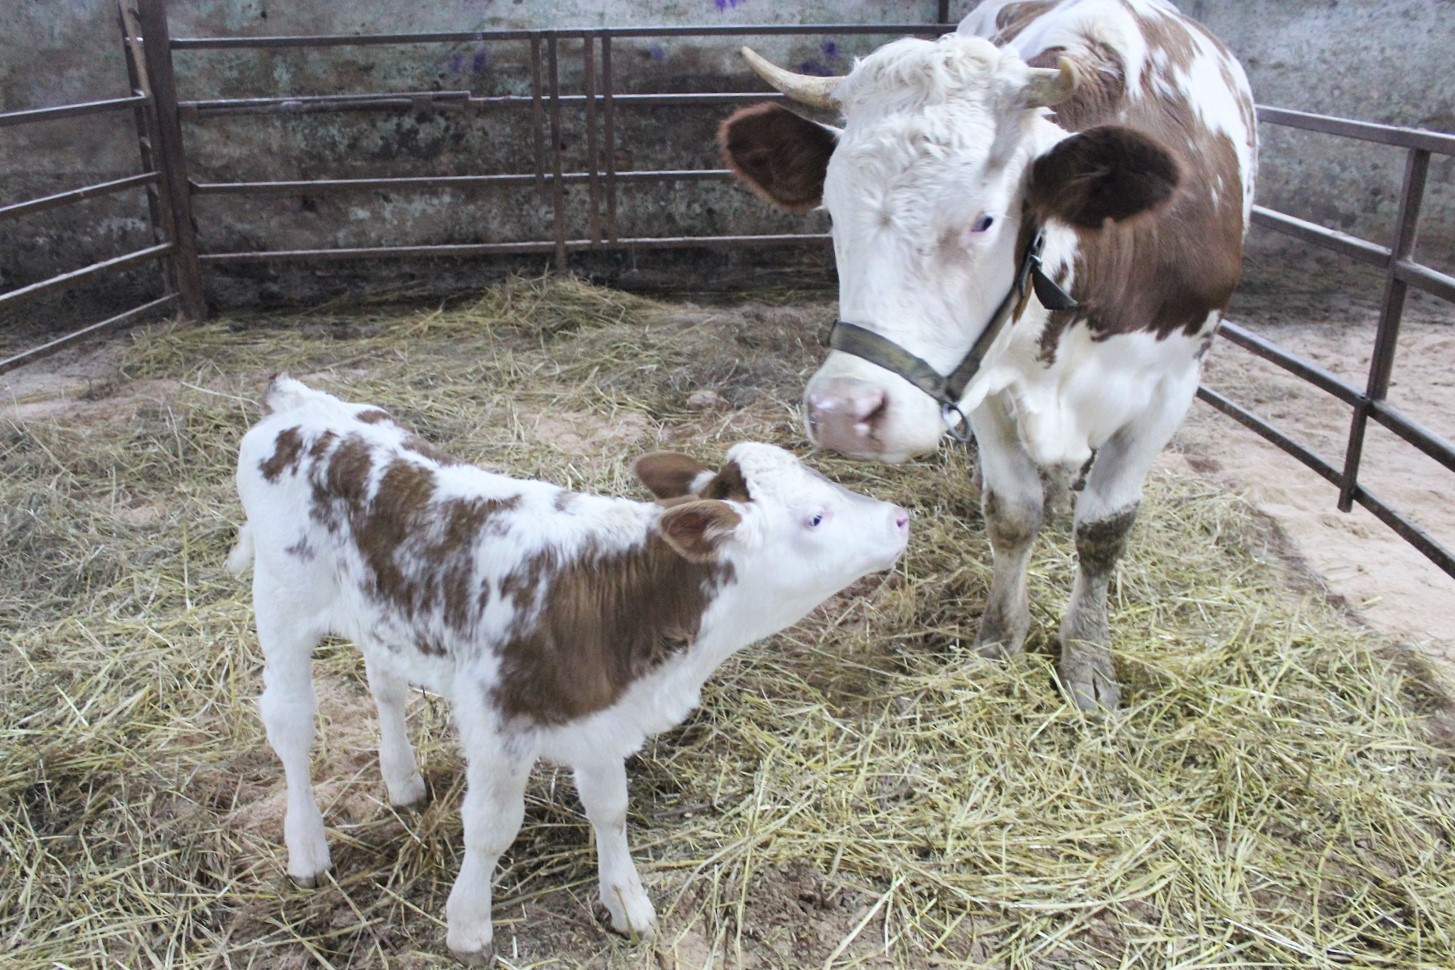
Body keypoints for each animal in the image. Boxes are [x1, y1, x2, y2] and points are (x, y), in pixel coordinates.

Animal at [226, 375, 907, 959]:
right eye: (815, 516)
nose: (900, 516)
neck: (618, 595)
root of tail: (299, 402)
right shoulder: (498, 721)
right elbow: (491, 828)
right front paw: (468, 927)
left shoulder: (600, 713)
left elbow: (610, 807)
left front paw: (627, 902)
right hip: (280, 603)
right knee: (292, 726)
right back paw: (307, 848)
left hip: (378, 611)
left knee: (385, 685)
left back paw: (403, 780)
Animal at [715, 0, 1251, 712]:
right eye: (830, 212)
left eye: (984, 220)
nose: (843, 413)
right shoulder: (983, 385)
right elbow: (1013, 513)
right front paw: (1000, 638)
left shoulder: (1171, 385)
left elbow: (1105, 527)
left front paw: (1088, 659)